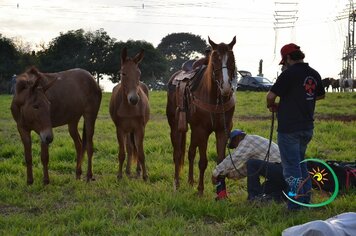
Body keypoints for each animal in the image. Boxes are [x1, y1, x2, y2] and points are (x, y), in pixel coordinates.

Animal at [110, 47, 151, 181]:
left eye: (139, 73)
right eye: (123, 73)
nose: (134, 99)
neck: (129, 108)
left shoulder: (140, 128)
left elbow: (141, 152)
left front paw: (145, 176)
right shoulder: (120, 129)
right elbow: (122, 153)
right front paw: (119, 175)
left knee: (135, 147)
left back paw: (137, 170)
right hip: (128, 130)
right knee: (129, 147)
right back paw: (127, 170)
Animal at [166, 37, 236, 195]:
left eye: (232, 60)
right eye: (214, 61)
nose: (226, 88)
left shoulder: (222, 130)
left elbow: (220, 160)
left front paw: (222, 192)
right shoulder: (202, 130)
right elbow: (203, 161)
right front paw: (200, 190)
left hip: (193, 129)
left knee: (191, 152)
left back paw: (190, 181)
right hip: (176, 126)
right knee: (177, 153)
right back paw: (176, 184)